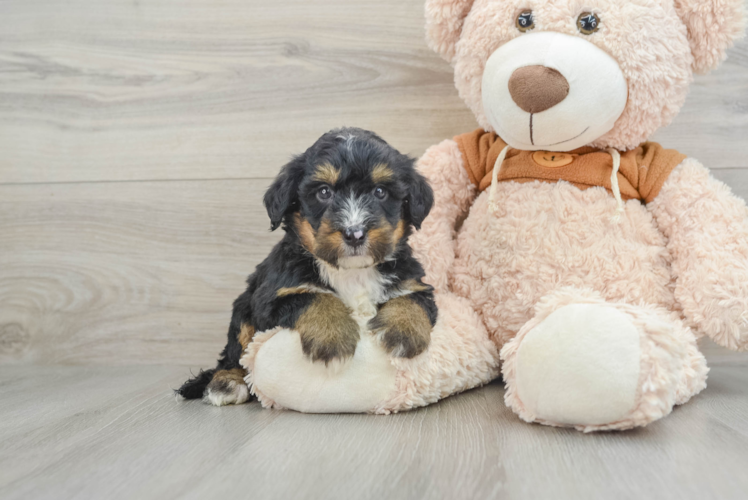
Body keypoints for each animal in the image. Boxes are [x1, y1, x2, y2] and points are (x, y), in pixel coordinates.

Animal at [179, 126, 438, 406]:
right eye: (324, 192)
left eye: (380, 192)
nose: (355, 233)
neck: (351, 272)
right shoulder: (271, 298)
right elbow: (314, 297)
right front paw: (332, 338)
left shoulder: (413, 281)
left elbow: (411, 299)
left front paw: (405, 334)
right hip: (243, 307)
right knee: (233, 353)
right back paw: (226, 383)